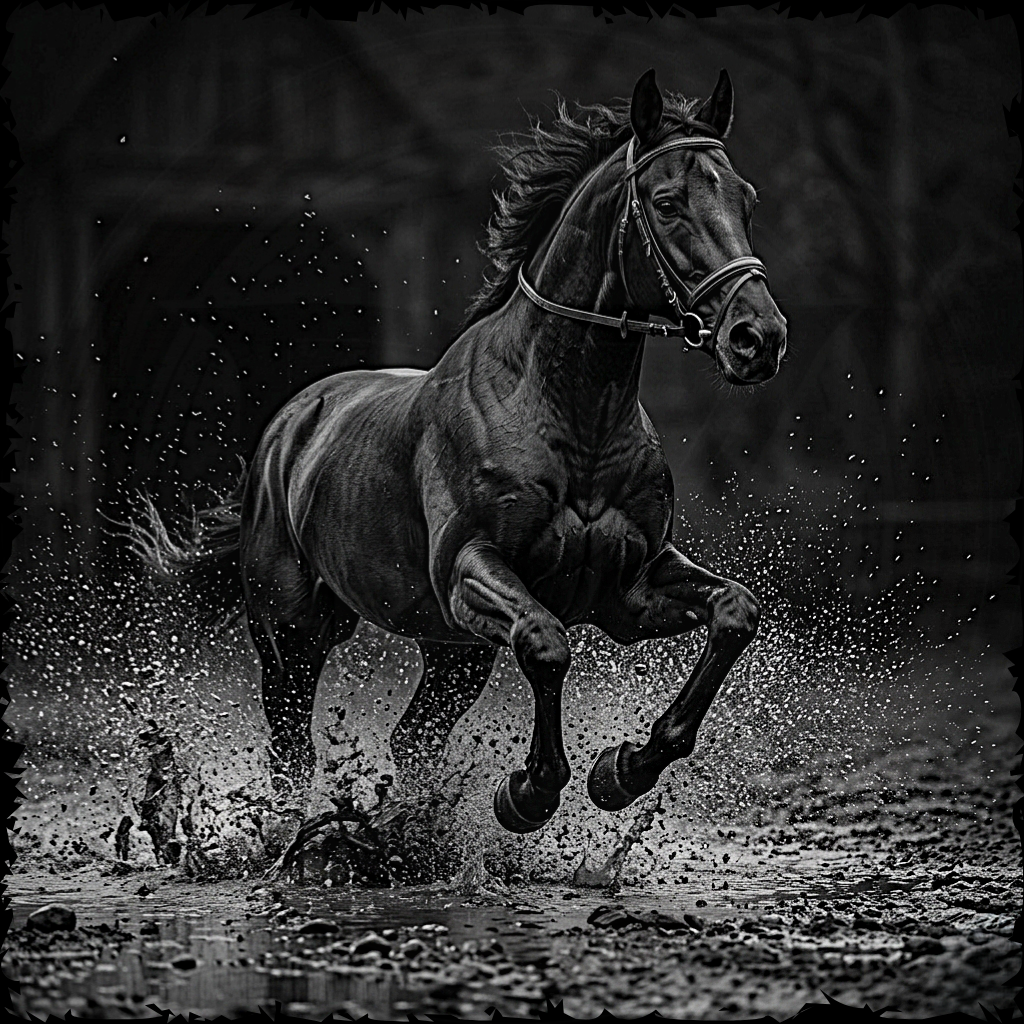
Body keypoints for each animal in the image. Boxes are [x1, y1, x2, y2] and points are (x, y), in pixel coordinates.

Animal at [132, 68, 786, 833]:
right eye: (667, 202)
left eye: (744, 198)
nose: (758, 338)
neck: (573, 421)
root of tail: (288, 427)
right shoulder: (472, 568)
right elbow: (546, 643)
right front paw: (528, 792)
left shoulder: (630, 589)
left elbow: (735, 612)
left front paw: (623, 770)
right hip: (293, 634)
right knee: (292, 750)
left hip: (452, 653)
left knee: (412, 739)